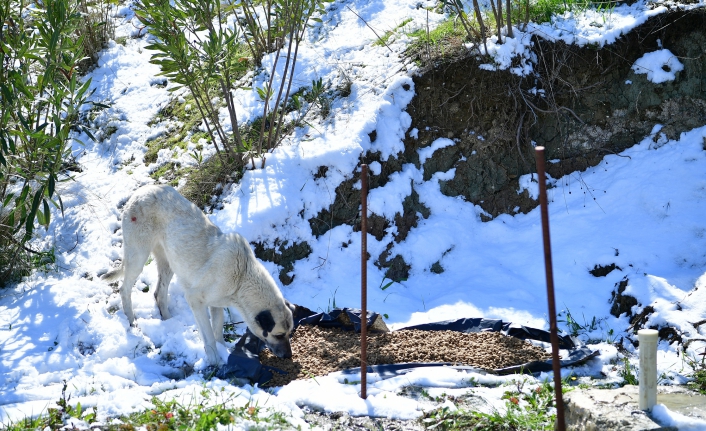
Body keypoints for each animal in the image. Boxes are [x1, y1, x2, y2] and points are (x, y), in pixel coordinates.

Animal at [100, 184, 292, 366]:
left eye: (289, 333)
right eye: (279, 335)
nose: (289, 356)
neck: (242, 278)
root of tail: (140, 191)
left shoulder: (216, 304)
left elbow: (217, 331)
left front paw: (224, 350)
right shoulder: (195, 299)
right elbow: (209, 337)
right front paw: (216, 361)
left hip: (168, 262)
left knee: (159, 293)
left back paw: (170, 322)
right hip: (138, 256)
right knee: (124, 289)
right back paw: (131, 322)